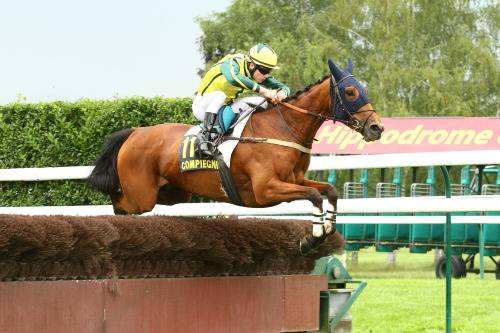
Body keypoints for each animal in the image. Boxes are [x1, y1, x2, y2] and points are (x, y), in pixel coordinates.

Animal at [88, 59, 384, 252]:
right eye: (350, 92)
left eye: (365, 89)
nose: (376, 128)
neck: (284, 127)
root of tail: (134, 132)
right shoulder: (266, 190)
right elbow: (314, 196)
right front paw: (313, 237)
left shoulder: (295, 179)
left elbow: (329, 191)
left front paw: (328, 228)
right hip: (141, 196)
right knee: (119, 204)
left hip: (174, 193)